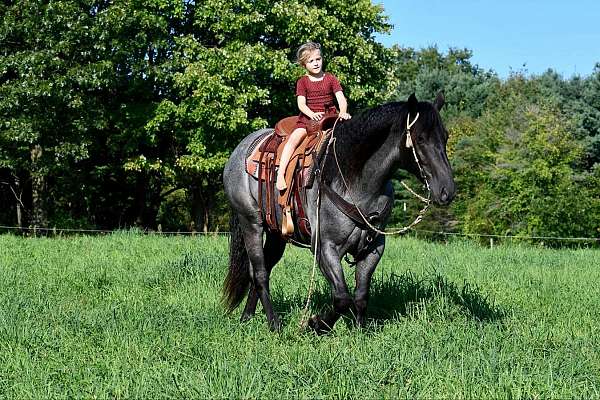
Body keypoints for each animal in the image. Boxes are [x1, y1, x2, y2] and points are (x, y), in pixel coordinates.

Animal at [223, 92, 452, 332]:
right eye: (420, 139)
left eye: (445, 137)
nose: (447, 190)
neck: (354, 180)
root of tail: (240, 150)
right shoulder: (325, 248)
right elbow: (342, 298)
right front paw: (316, 324)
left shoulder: (374, 248)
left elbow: (361, 295)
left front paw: (359, 330)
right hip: (251, 223)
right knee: (259, 274)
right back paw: (274, 323)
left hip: (277, 234)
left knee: (263, 269)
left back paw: (247, 316)